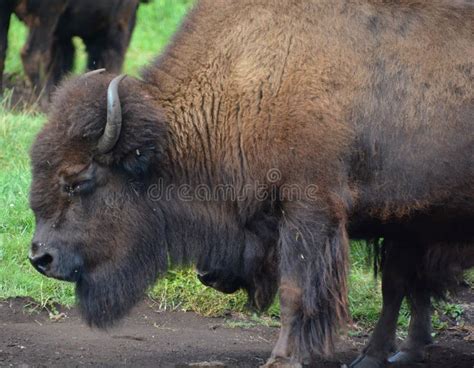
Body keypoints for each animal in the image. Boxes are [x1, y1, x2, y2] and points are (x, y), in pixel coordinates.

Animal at [0, 0, 148, 108]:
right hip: (46, 16)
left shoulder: (61, 35)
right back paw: (40, 104)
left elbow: (59, 65)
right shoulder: (119, 24)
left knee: (4, 50)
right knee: (32, 54)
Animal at [27, 0, 472, 368]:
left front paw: (283, 359)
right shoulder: (406, 221)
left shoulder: (310, 211)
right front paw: (385, 354)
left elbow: (297, 290)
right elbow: (400, 285)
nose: (40, 258)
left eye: (78, 180)